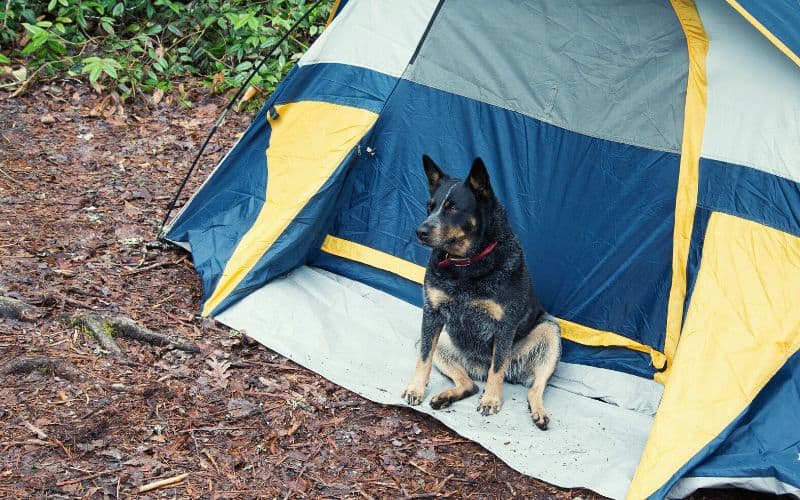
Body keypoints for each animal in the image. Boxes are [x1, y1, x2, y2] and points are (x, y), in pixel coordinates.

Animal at [400, 154, 564, 428]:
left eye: (453, 207)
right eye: (430, 206)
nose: (420, 231)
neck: (466, 266)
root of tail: (478, 367)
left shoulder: (505, 324)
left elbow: (497, 367)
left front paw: (492, 400)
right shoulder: (432, 313)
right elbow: (423, 358)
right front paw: (415, 388)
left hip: (549, 332)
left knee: (533, 387)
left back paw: (537, 411)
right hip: (444, 342)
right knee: (470, 384)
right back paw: (446, 396)